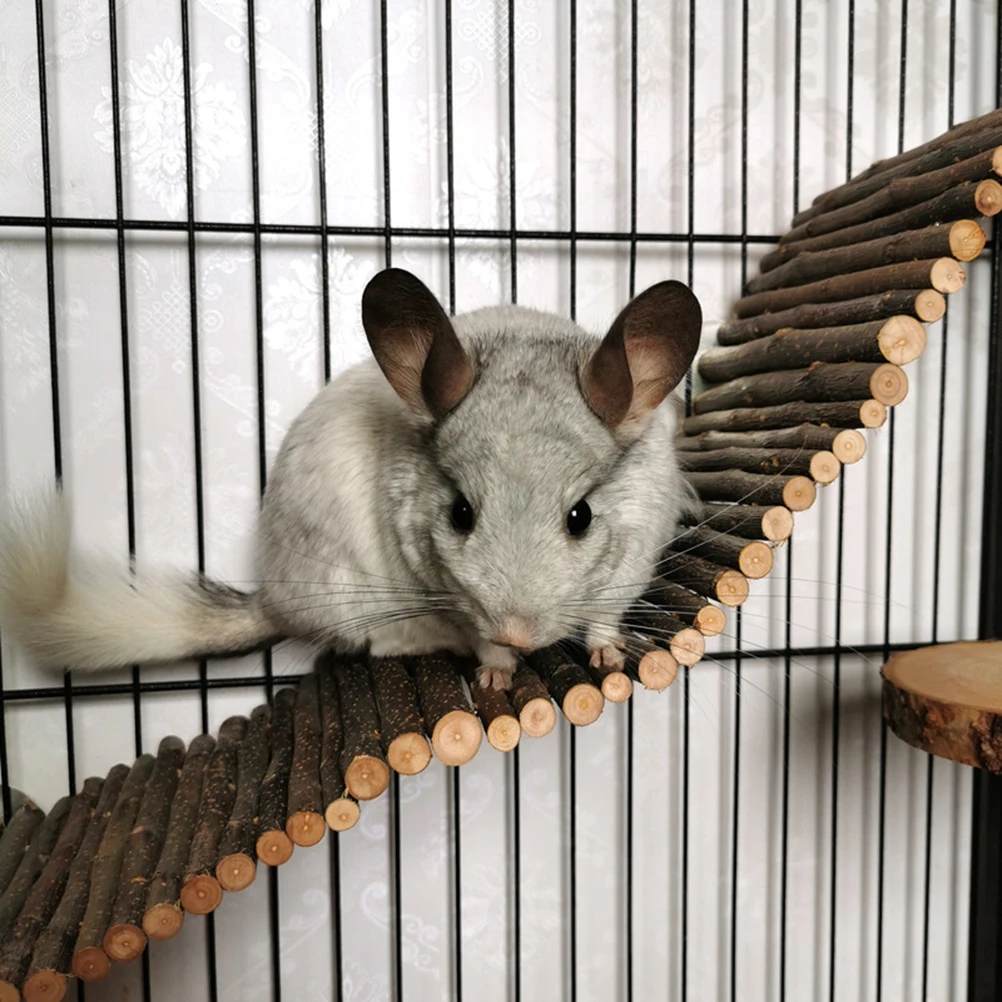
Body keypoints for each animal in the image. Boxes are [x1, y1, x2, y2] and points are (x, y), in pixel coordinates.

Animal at [0, 268, 702, 691]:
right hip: (347, 582)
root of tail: (275, 596)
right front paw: (497, 671)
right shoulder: (442, 587)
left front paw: (609, 656)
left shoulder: (631, 562)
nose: (516, 633)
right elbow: (477, 642)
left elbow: (605, 619)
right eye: (460, 513)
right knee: (377, 640)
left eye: (580, 516)